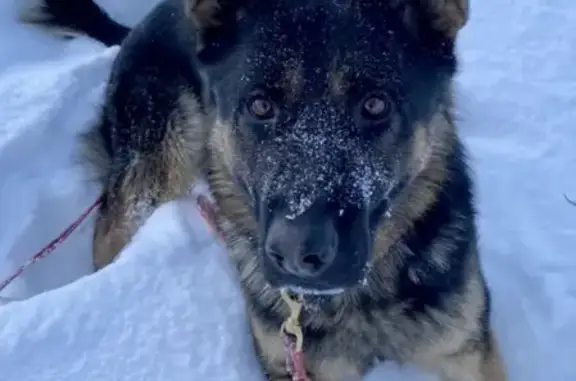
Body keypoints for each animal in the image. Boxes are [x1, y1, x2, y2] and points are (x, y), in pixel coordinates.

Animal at [21, 0, 508, 378]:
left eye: (375, 105)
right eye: (259, 106)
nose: (296, 253)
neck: (364, 295)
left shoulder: (468, 352)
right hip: (165, 158)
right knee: (111, 225)